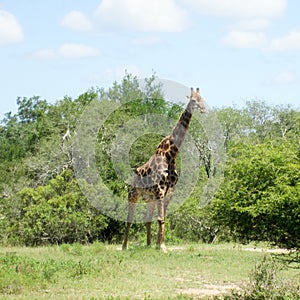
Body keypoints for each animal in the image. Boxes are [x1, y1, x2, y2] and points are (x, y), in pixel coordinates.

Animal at [122, 86, 206, 251]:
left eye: (202, 99)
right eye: (193, 100)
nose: (203, 109)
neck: (171, 154)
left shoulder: (170, 190)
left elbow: (162, 218)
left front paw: (159, 245)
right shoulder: (160, 189)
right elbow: (161, 218)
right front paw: (162, 247)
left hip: (150, 197)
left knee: (147, 219)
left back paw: (148, 245)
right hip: (133, 194)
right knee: (129, 219)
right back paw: (124, 246)